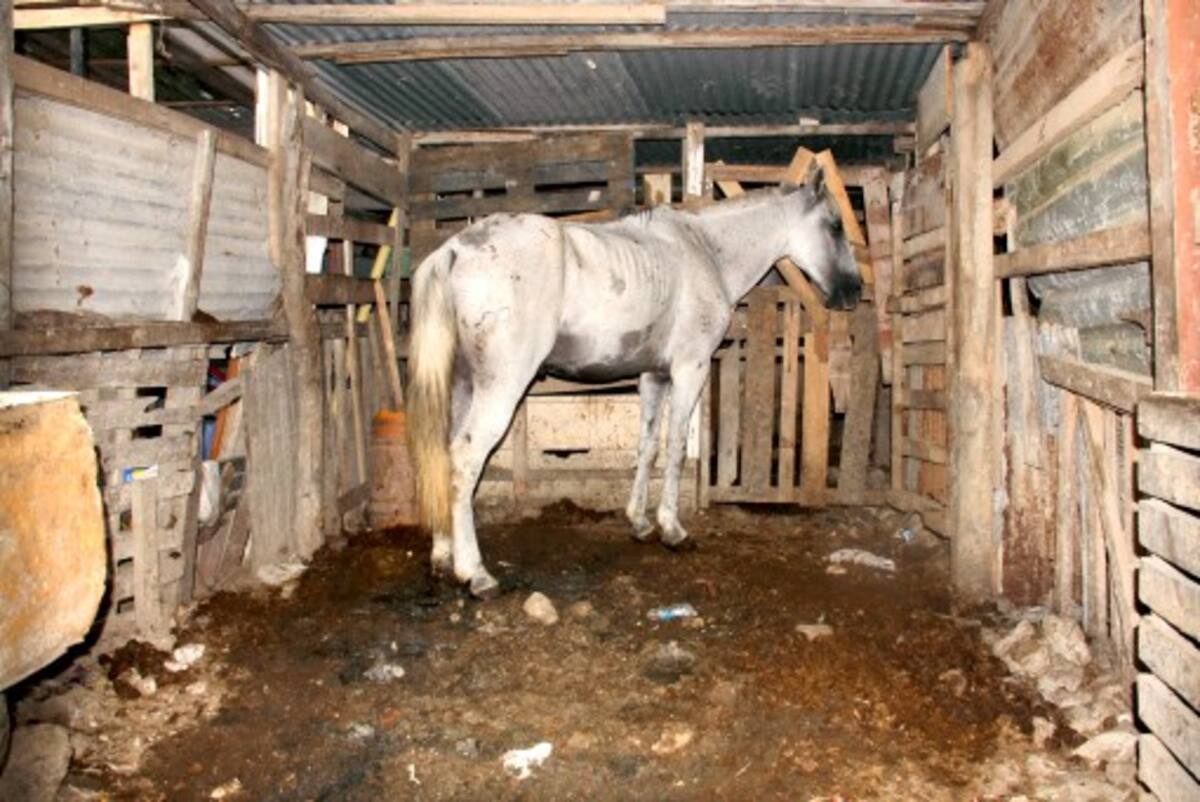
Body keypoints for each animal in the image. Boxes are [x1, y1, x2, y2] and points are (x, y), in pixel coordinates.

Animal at [407, 165, 862, 597]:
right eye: (835, 226)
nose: (855, 292)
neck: (706, 251)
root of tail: (455, 250)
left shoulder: (653, 377)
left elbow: (648, 447)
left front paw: (639, 523)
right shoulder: (690, 369)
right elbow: (675, 448)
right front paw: (673, 530)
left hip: (463, 387)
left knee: (443, 455)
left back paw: (443, 556)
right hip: (499, 388)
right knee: (465, 460)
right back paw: (476, 574)